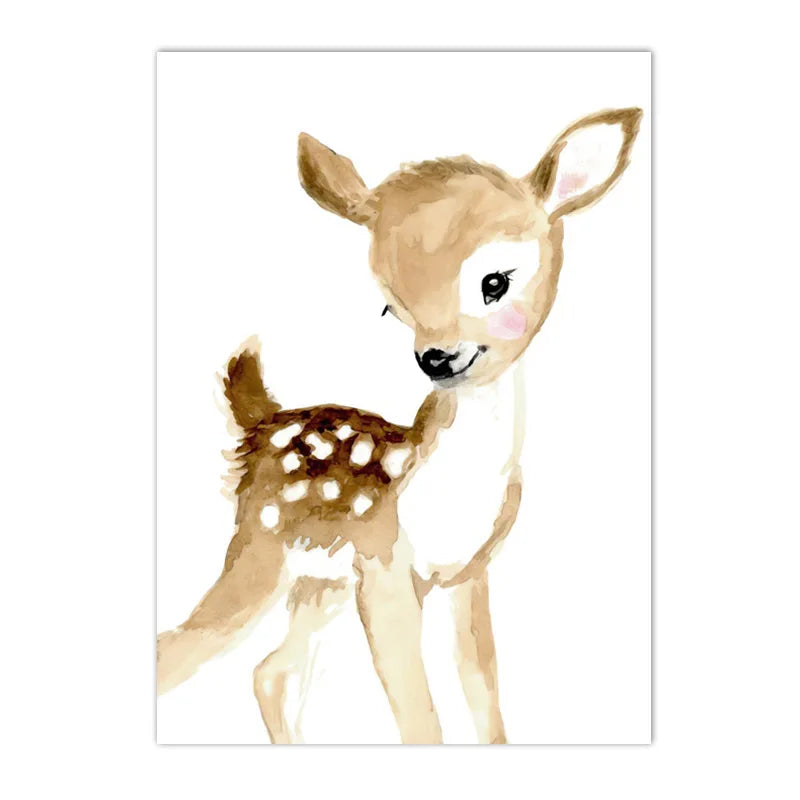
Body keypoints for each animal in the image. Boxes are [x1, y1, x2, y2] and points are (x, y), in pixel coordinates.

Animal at [156, 107, 643, 744]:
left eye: (494, 282)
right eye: (391, 305)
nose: (436, 357)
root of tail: (259, 422)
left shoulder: (466, 574)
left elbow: (483, 693)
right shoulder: (385, 563)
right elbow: (418, 714)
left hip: (320, 583)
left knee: (270, 671)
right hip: (263, 549)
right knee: (188, 649)